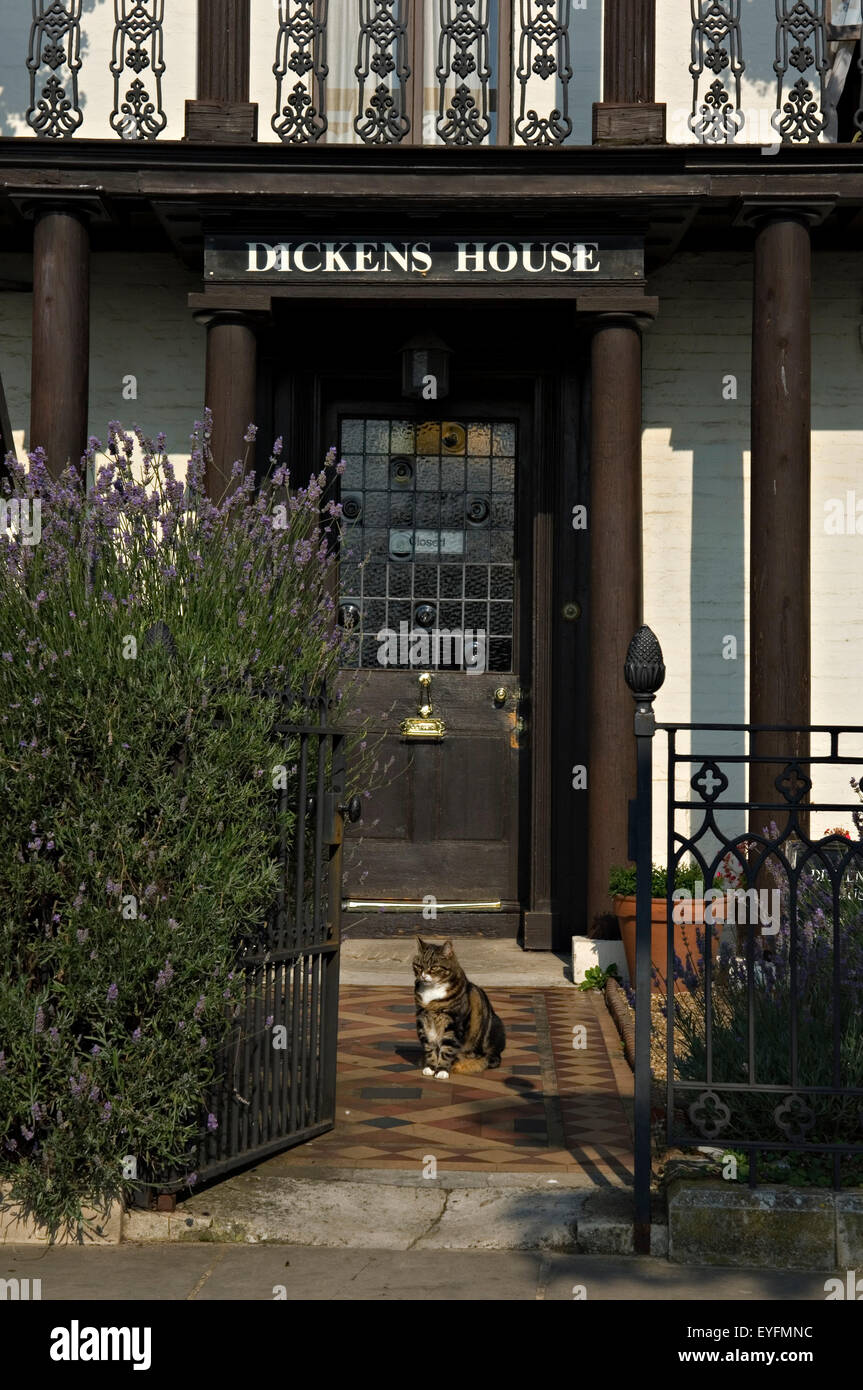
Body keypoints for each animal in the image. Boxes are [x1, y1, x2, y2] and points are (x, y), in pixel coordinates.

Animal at [411, 939, 505, 1078]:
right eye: (418, 966)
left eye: (434, 967)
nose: (422, 975)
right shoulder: (423, 1021)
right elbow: (430, 1047)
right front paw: (430, 1067)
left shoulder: (453, 1024)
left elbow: (447, 1049)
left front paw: (442, 1070)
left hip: (496, 1028)